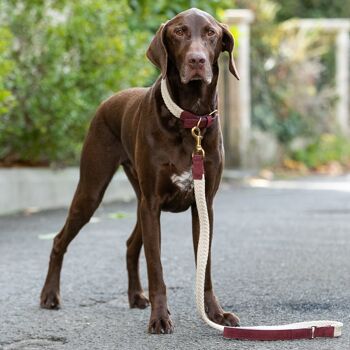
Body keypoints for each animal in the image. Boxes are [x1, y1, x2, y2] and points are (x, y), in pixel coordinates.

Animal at [39, 8, 241, 334]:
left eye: (211, 33)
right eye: (179, 32)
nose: (197, 60)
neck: (189, 120)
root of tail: (109, 100)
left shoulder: (203, 206)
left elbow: (205, 267)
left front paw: (216, 314)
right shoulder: (153, 204)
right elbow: (156, 268)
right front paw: (160, 318)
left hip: (138, 201)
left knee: (131, 244)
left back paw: (135, 295)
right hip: (93, 190)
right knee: (60, 240)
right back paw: (49, 295)